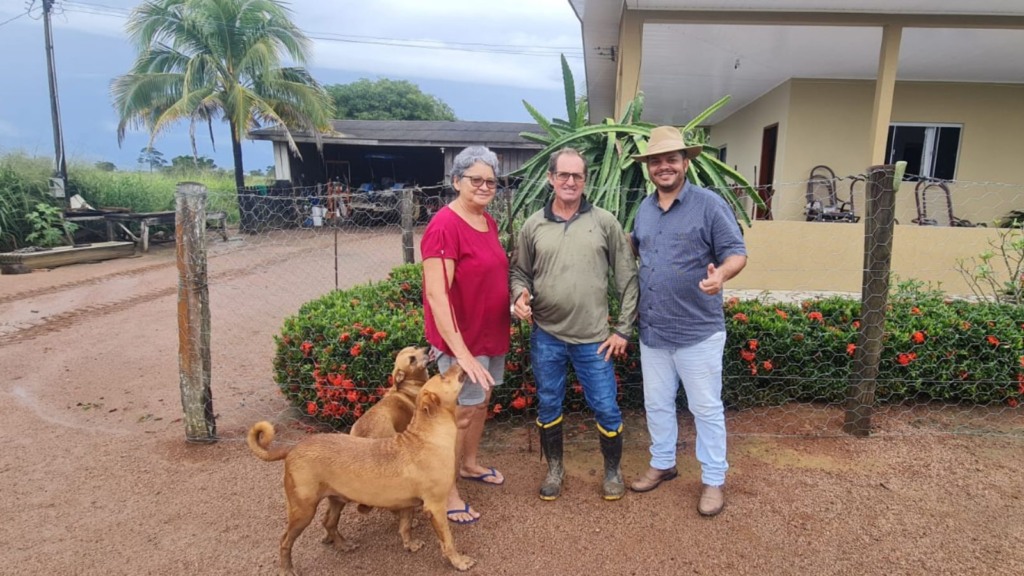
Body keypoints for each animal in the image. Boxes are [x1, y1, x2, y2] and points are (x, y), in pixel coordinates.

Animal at [247, 362, 471, 573]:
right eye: (442, 376)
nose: (459, 362)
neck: (426, 437)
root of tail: (293, 449)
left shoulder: (408, 504)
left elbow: (405, 527)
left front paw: (410, 544)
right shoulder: (435, 506)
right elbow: (448, 540)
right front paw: (458, 561)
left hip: (336, 499)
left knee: (328, 523)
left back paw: (342, 544)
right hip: (303, 510)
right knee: (285, 541)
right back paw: (287, 568)